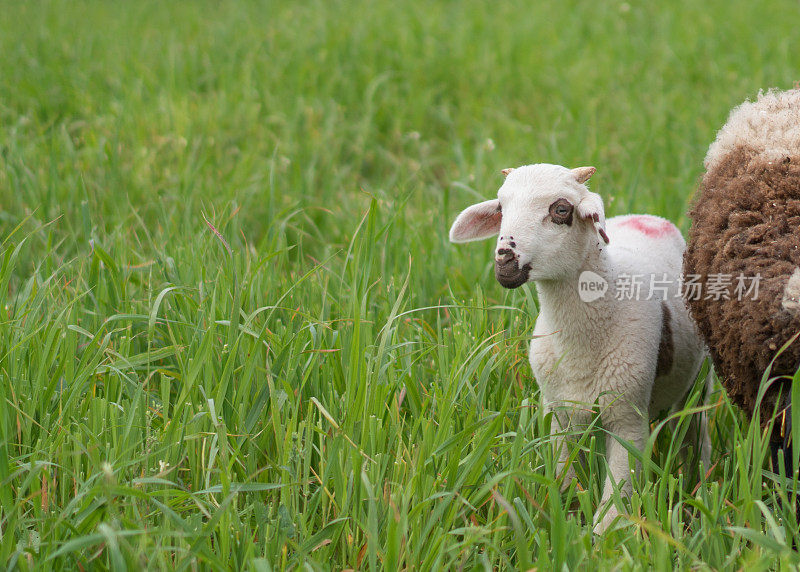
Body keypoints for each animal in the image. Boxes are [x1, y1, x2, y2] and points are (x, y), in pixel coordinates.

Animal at [450, 163, 708, 536]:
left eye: (561, 210)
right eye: (501, 209)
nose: (504, 260)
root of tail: (649, 218)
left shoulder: (628, 416)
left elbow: (615, 503)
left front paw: (604, 541)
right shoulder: (558, 411)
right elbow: (564, 482)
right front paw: (565, 524)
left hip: (701, 381)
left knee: (696, 430)